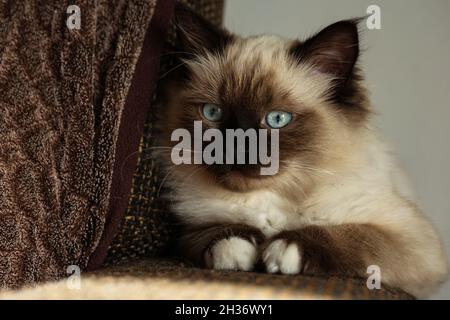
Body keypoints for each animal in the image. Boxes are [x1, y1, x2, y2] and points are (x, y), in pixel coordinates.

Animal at [154, 4, 446, 298]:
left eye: (277, 119)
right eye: (213, 113)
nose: (236, 147)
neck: (274, 196)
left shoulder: (411, 239)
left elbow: (354, 235)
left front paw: (284, 249)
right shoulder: (189, 227)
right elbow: (213, 231)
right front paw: (236, 248)